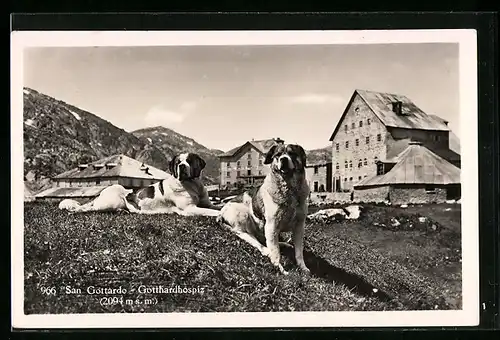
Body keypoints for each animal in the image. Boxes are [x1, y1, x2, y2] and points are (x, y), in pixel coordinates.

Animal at [217, 142, 310, 274]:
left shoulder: (299, 226)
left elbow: (299, 252)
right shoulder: (272, 225)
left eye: (292, 153)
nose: (283, 159)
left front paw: (303, 267)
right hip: (243, 215)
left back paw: (283, 244)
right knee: (249, 237)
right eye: (278, 155)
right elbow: (275, 252)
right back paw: (266, 250)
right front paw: (279, 268)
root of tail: (221, 211)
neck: (290, 190)